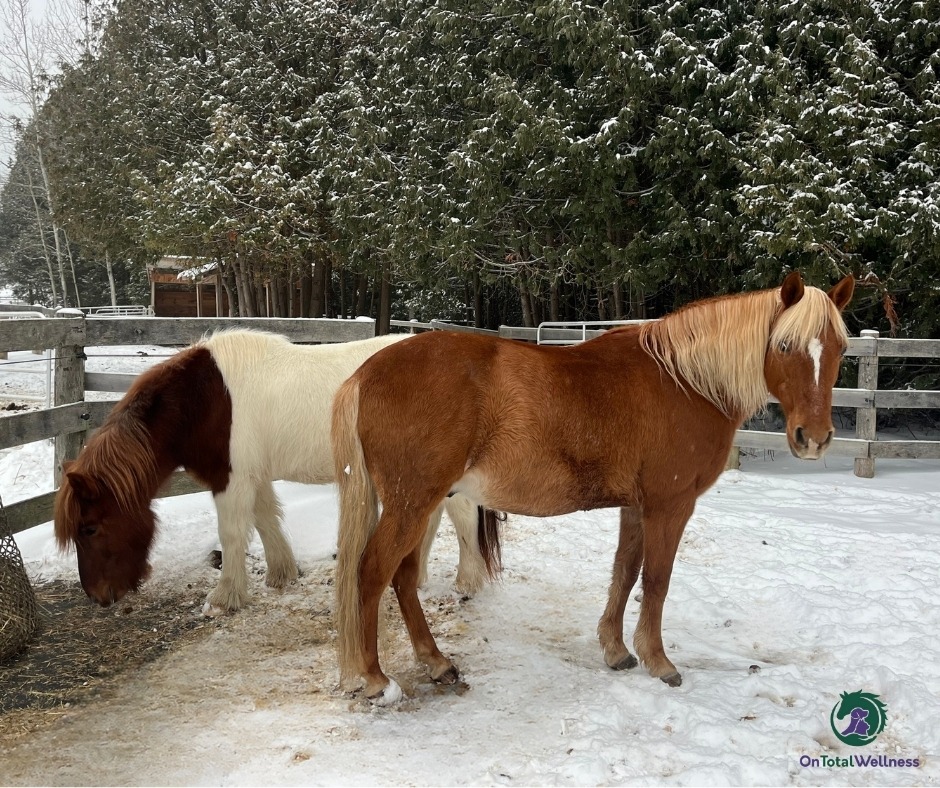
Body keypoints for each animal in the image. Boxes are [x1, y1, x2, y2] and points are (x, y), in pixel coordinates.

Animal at [54, 330, 501, 615]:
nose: (97, 597)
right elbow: (266, 518)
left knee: (462, 517)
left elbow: (233, 533)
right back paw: (418, 577)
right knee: (433, 519)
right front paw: (281, 574)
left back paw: (467, 582)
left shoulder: (231, 479)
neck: (202, 401)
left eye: (89, 528)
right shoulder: (253, 476)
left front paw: (224, 598)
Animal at [332, 271, 855, 704]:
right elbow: (657, 580)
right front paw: (659, 661)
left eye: (840, 349)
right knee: (373, 572)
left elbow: (624, 572)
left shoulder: (636, 507)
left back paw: (436, 662)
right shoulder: (670, 506)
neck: (686, 380)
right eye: (784, 345)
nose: (814, 438)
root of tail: (365, 372)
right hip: (410, 504)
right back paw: (376, 679)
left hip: (420, 506)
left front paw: (616, 650)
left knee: (402, 577)